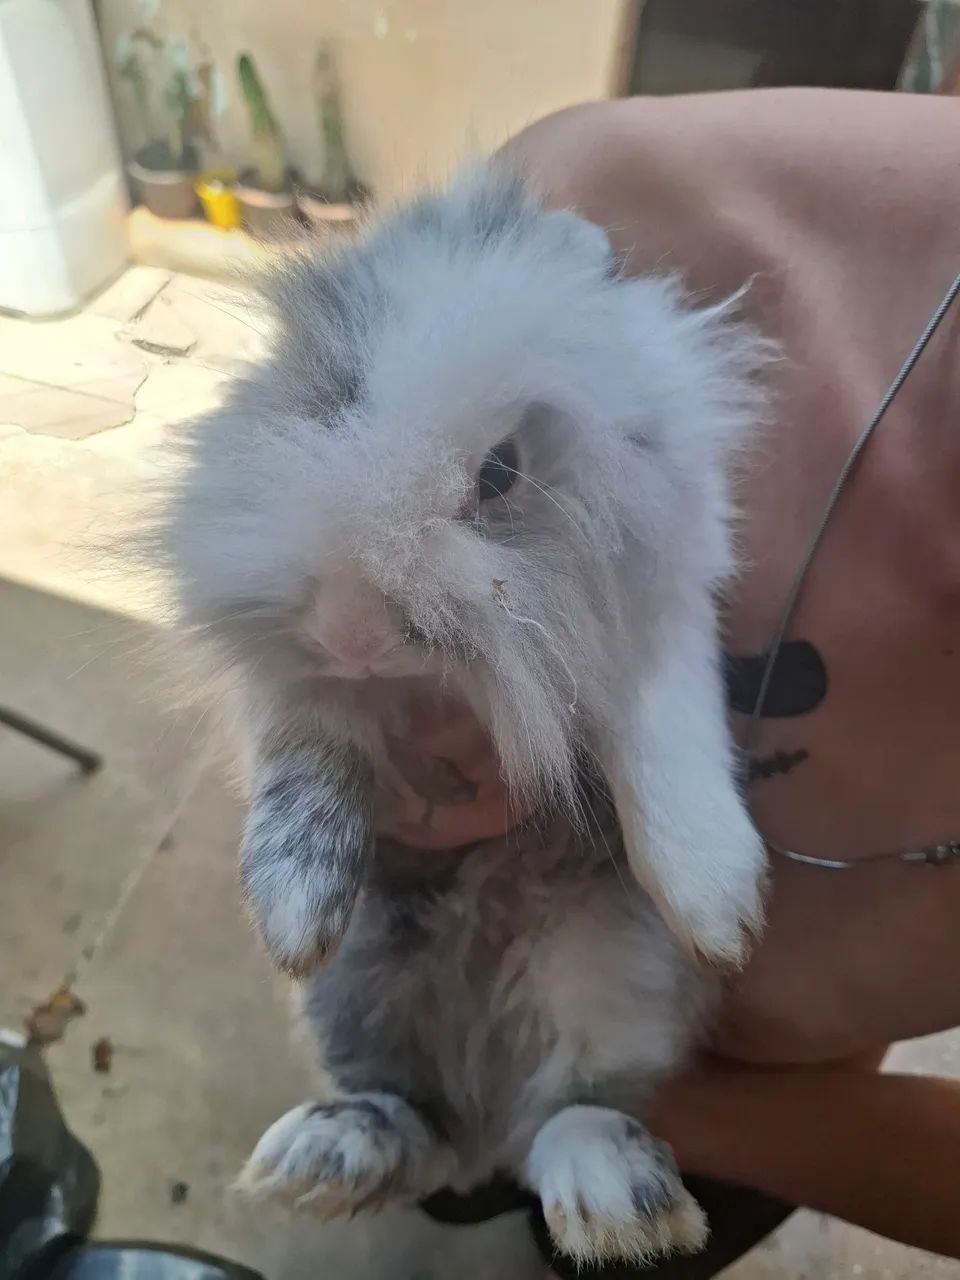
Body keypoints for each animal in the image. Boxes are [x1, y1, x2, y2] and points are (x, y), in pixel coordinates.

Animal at [150, 163, 770, 1265]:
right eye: (332, 396)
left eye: (500, 469)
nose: (351, 628)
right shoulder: (297, 693)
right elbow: (303, 755)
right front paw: (290, 902)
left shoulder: (658, 618)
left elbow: (665, 744)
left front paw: (718, 909)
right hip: (353, 992)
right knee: (422, 1127)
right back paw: (324, 1156)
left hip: (612, 976)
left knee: (562, 1117)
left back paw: (622, 1204)